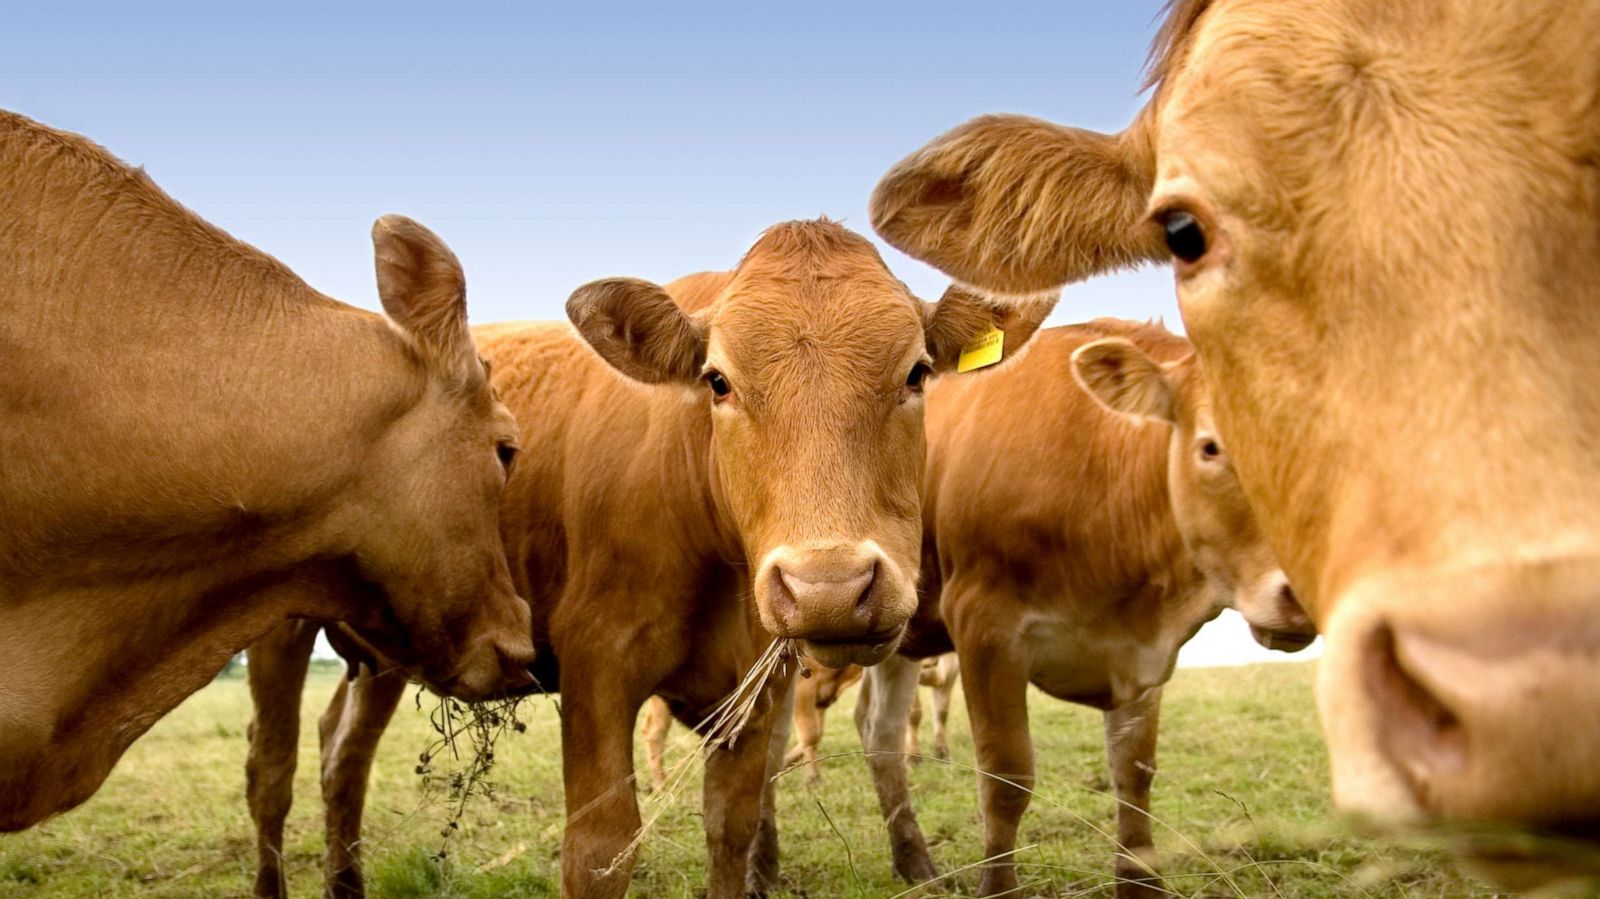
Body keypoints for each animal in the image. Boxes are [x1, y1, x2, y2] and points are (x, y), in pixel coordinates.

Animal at [236, 219, 1049, 895]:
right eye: (718, 380)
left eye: (917, 372)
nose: (829, 587)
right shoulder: (598, 665)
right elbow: (599, 847)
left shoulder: (754, 692)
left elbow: (732, 828)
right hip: (276, 623)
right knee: (271, 771)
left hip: (389, 642)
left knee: (343, 756)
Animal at [870, 0, 1600, 876]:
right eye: (1182, 231)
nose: (1530, 711)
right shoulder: (984, 627)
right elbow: (1007, 782)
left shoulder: (1141, 661)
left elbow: (1135, 780)